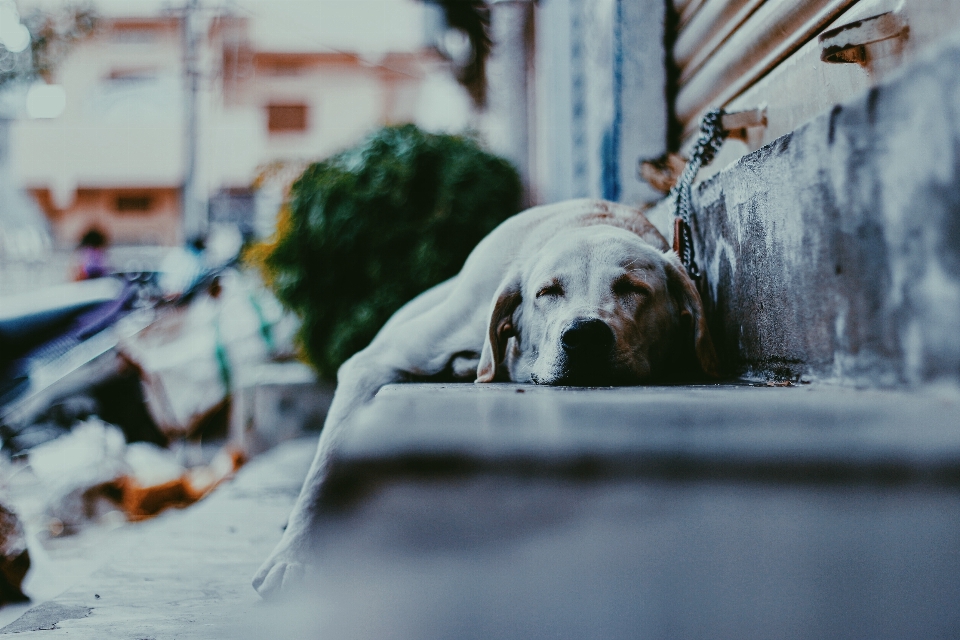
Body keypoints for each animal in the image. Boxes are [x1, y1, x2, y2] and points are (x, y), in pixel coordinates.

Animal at [251, 198, 716, 596]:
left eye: (633, 288)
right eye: (547, 292)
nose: (584, 335)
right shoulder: (370, 364)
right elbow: (323, 466)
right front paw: (296, 554)